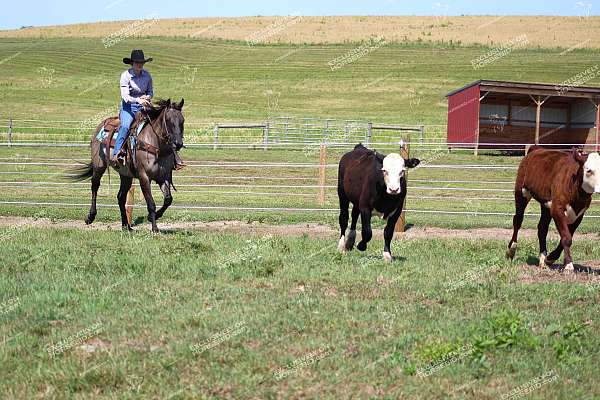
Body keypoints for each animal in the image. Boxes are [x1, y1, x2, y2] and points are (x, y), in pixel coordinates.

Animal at [70, 98, 184, 233]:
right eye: (169, 121)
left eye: (182, 121)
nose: (178, 144)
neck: (156, 147)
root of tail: (101, 125)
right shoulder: (144, 177)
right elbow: (151, 203)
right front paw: (155, 228)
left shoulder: (164, 177)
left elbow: (168, 199)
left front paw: (153, 217)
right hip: (99, 166)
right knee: (95, 186)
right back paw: (90, 217)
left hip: (126, 175)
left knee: (121, 196)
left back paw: (126, 226)